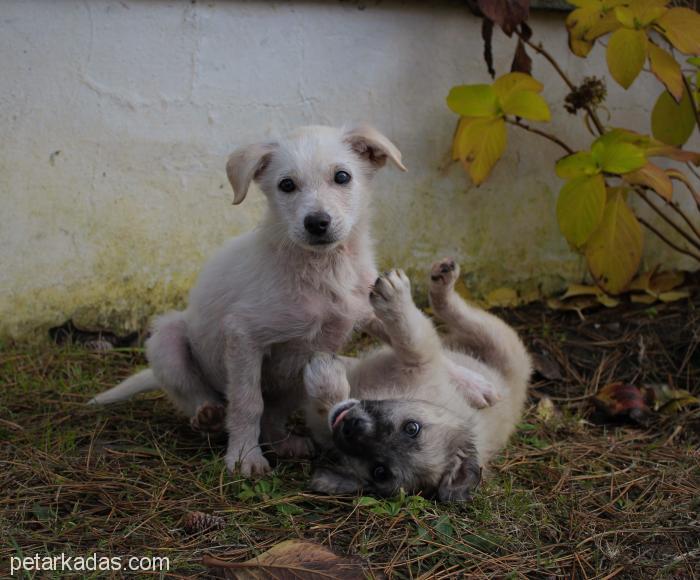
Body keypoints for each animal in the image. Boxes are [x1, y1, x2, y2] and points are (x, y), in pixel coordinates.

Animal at [302, 260, 532, 500]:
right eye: (412, 428)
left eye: (380, 471)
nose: (352, 426)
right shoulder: (427, 363)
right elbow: (409, 338)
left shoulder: (422, 360)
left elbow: (411, 338)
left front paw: (324, 373)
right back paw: (443, 279)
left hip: (502, 341)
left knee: (455, 313)